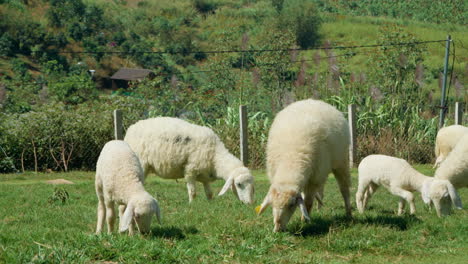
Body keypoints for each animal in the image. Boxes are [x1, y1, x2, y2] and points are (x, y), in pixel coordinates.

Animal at [124, 116, 254, 205]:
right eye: (239, 184)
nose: (250, 204)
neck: (215, 157)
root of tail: (131, 128)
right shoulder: (191, 170)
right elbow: (193, 192)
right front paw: (191, 205)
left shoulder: (205, 174)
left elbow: (209, 193)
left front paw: (210, 204)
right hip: (141, 163)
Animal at [256, 99, 352, 231]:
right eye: (272, 205)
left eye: (291, 205)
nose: (278, 229)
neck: (291, 160)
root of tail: (313, 100)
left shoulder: (314, 179)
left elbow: (308, 203)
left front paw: (304, 222)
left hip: (341, 161)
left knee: (344, 189)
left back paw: (349, 214)